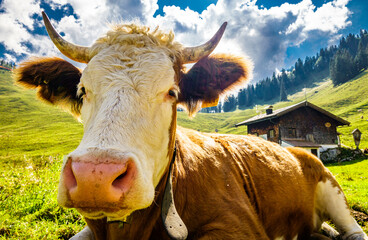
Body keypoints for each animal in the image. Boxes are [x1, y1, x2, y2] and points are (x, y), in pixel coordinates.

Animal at [15, 12, 368, 240]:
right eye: (82, 90)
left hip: (332, 190)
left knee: (353, 231)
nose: (95, 177)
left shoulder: (239, 225)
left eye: (172, 92)